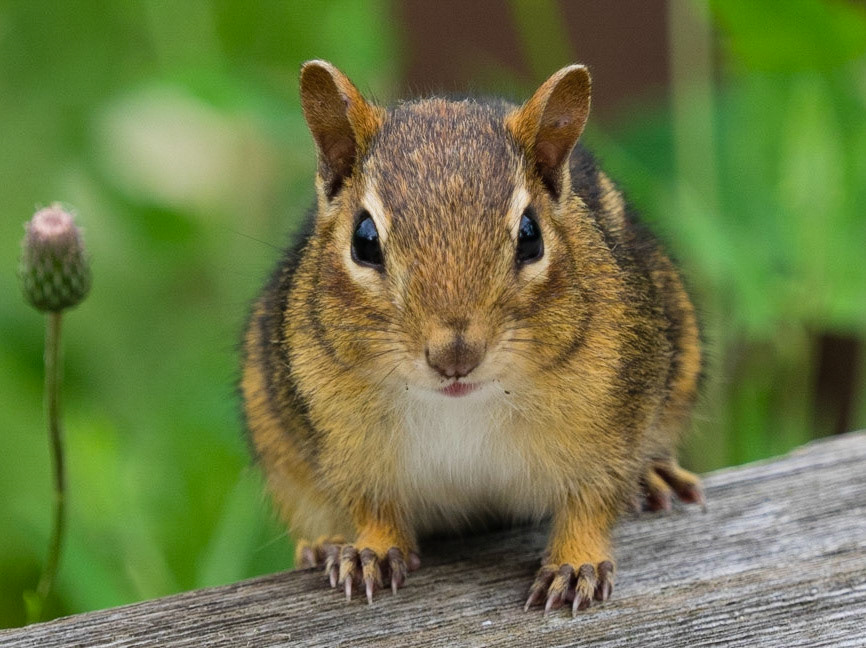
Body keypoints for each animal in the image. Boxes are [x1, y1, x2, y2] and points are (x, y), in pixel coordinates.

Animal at [240, 60, 704, 616]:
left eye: (530, 234)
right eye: (364, 240)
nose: (454, 356)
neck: (461, 404)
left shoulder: (611, 424)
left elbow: (591, 502)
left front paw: (576, 564)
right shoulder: (344, 444)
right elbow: (371, 506)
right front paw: (369, 552)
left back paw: (656, 476)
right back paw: (321, 545)